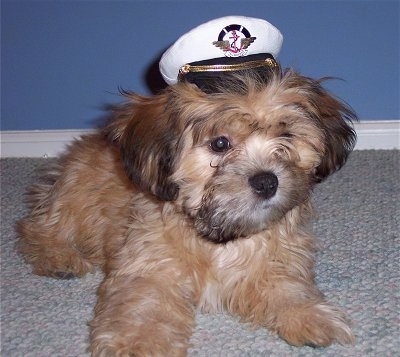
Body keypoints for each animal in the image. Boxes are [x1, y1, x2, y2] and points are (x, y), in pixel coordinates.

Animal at [18, 65, 356, 354]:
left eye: (286, 135)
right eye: (220, 143)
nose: (266, 182)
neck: (220, 236)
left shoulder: (276, 260)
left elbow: (288, 287)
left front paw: (310, 316)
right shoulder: (150, 267)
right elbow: (145, 304)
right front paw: (139, 343)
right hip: (76, 196)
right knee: (39, 226)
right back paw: (59, 258)